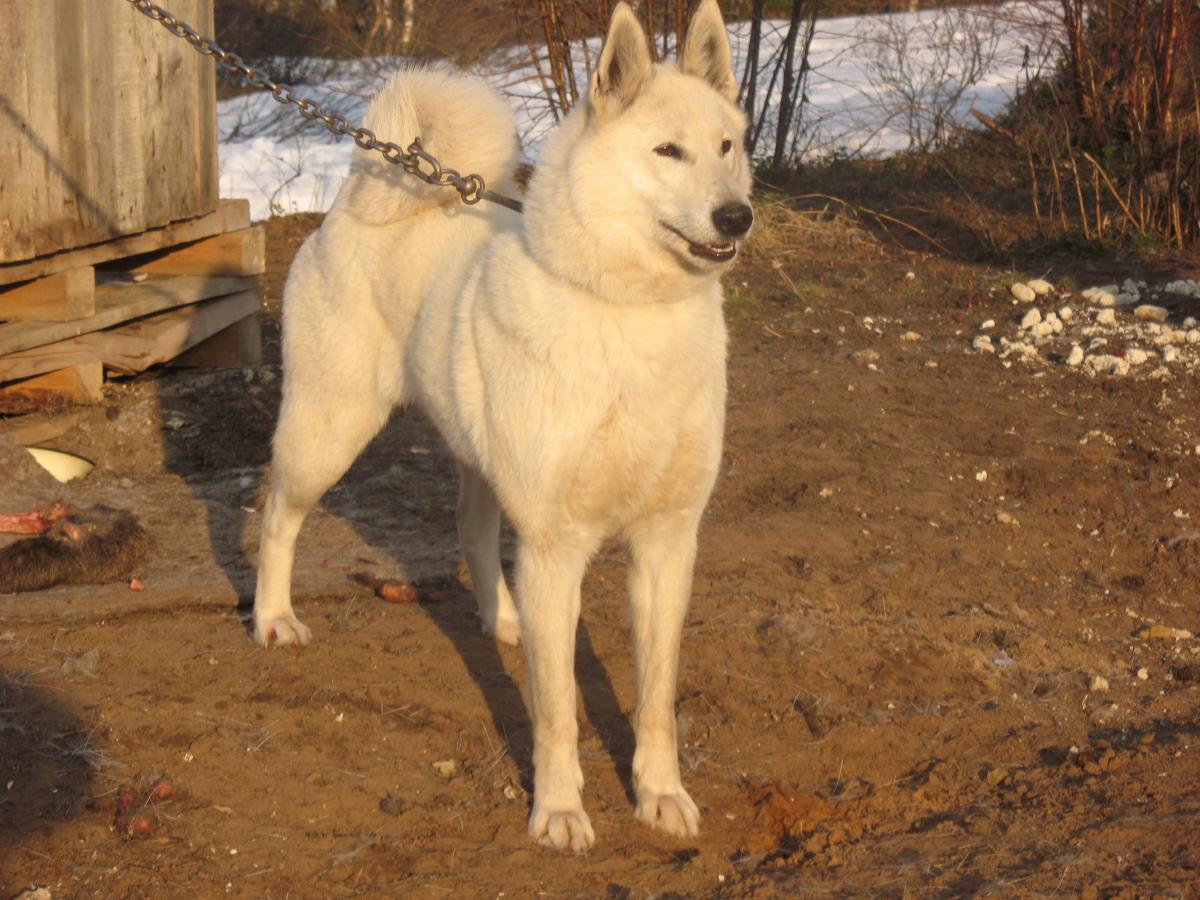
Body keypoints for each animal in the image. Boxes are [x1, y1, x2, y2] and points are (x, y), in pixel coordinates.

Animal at [255, 0, 748, 854]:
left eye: (727, 146)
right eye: (667, 150)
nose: (738, 216)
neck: (627, 313)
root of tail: (353, 204)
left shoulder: (665, 543)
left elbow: (656, 697)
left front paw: (660, 795)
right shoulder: (555, 547)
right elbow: (554, 712)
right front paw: (559, 810)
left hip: (474, 456)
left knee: (470, 524)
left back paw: (505, 618)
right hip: (329, 433)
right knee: (278, 511)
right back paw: (273, 618)